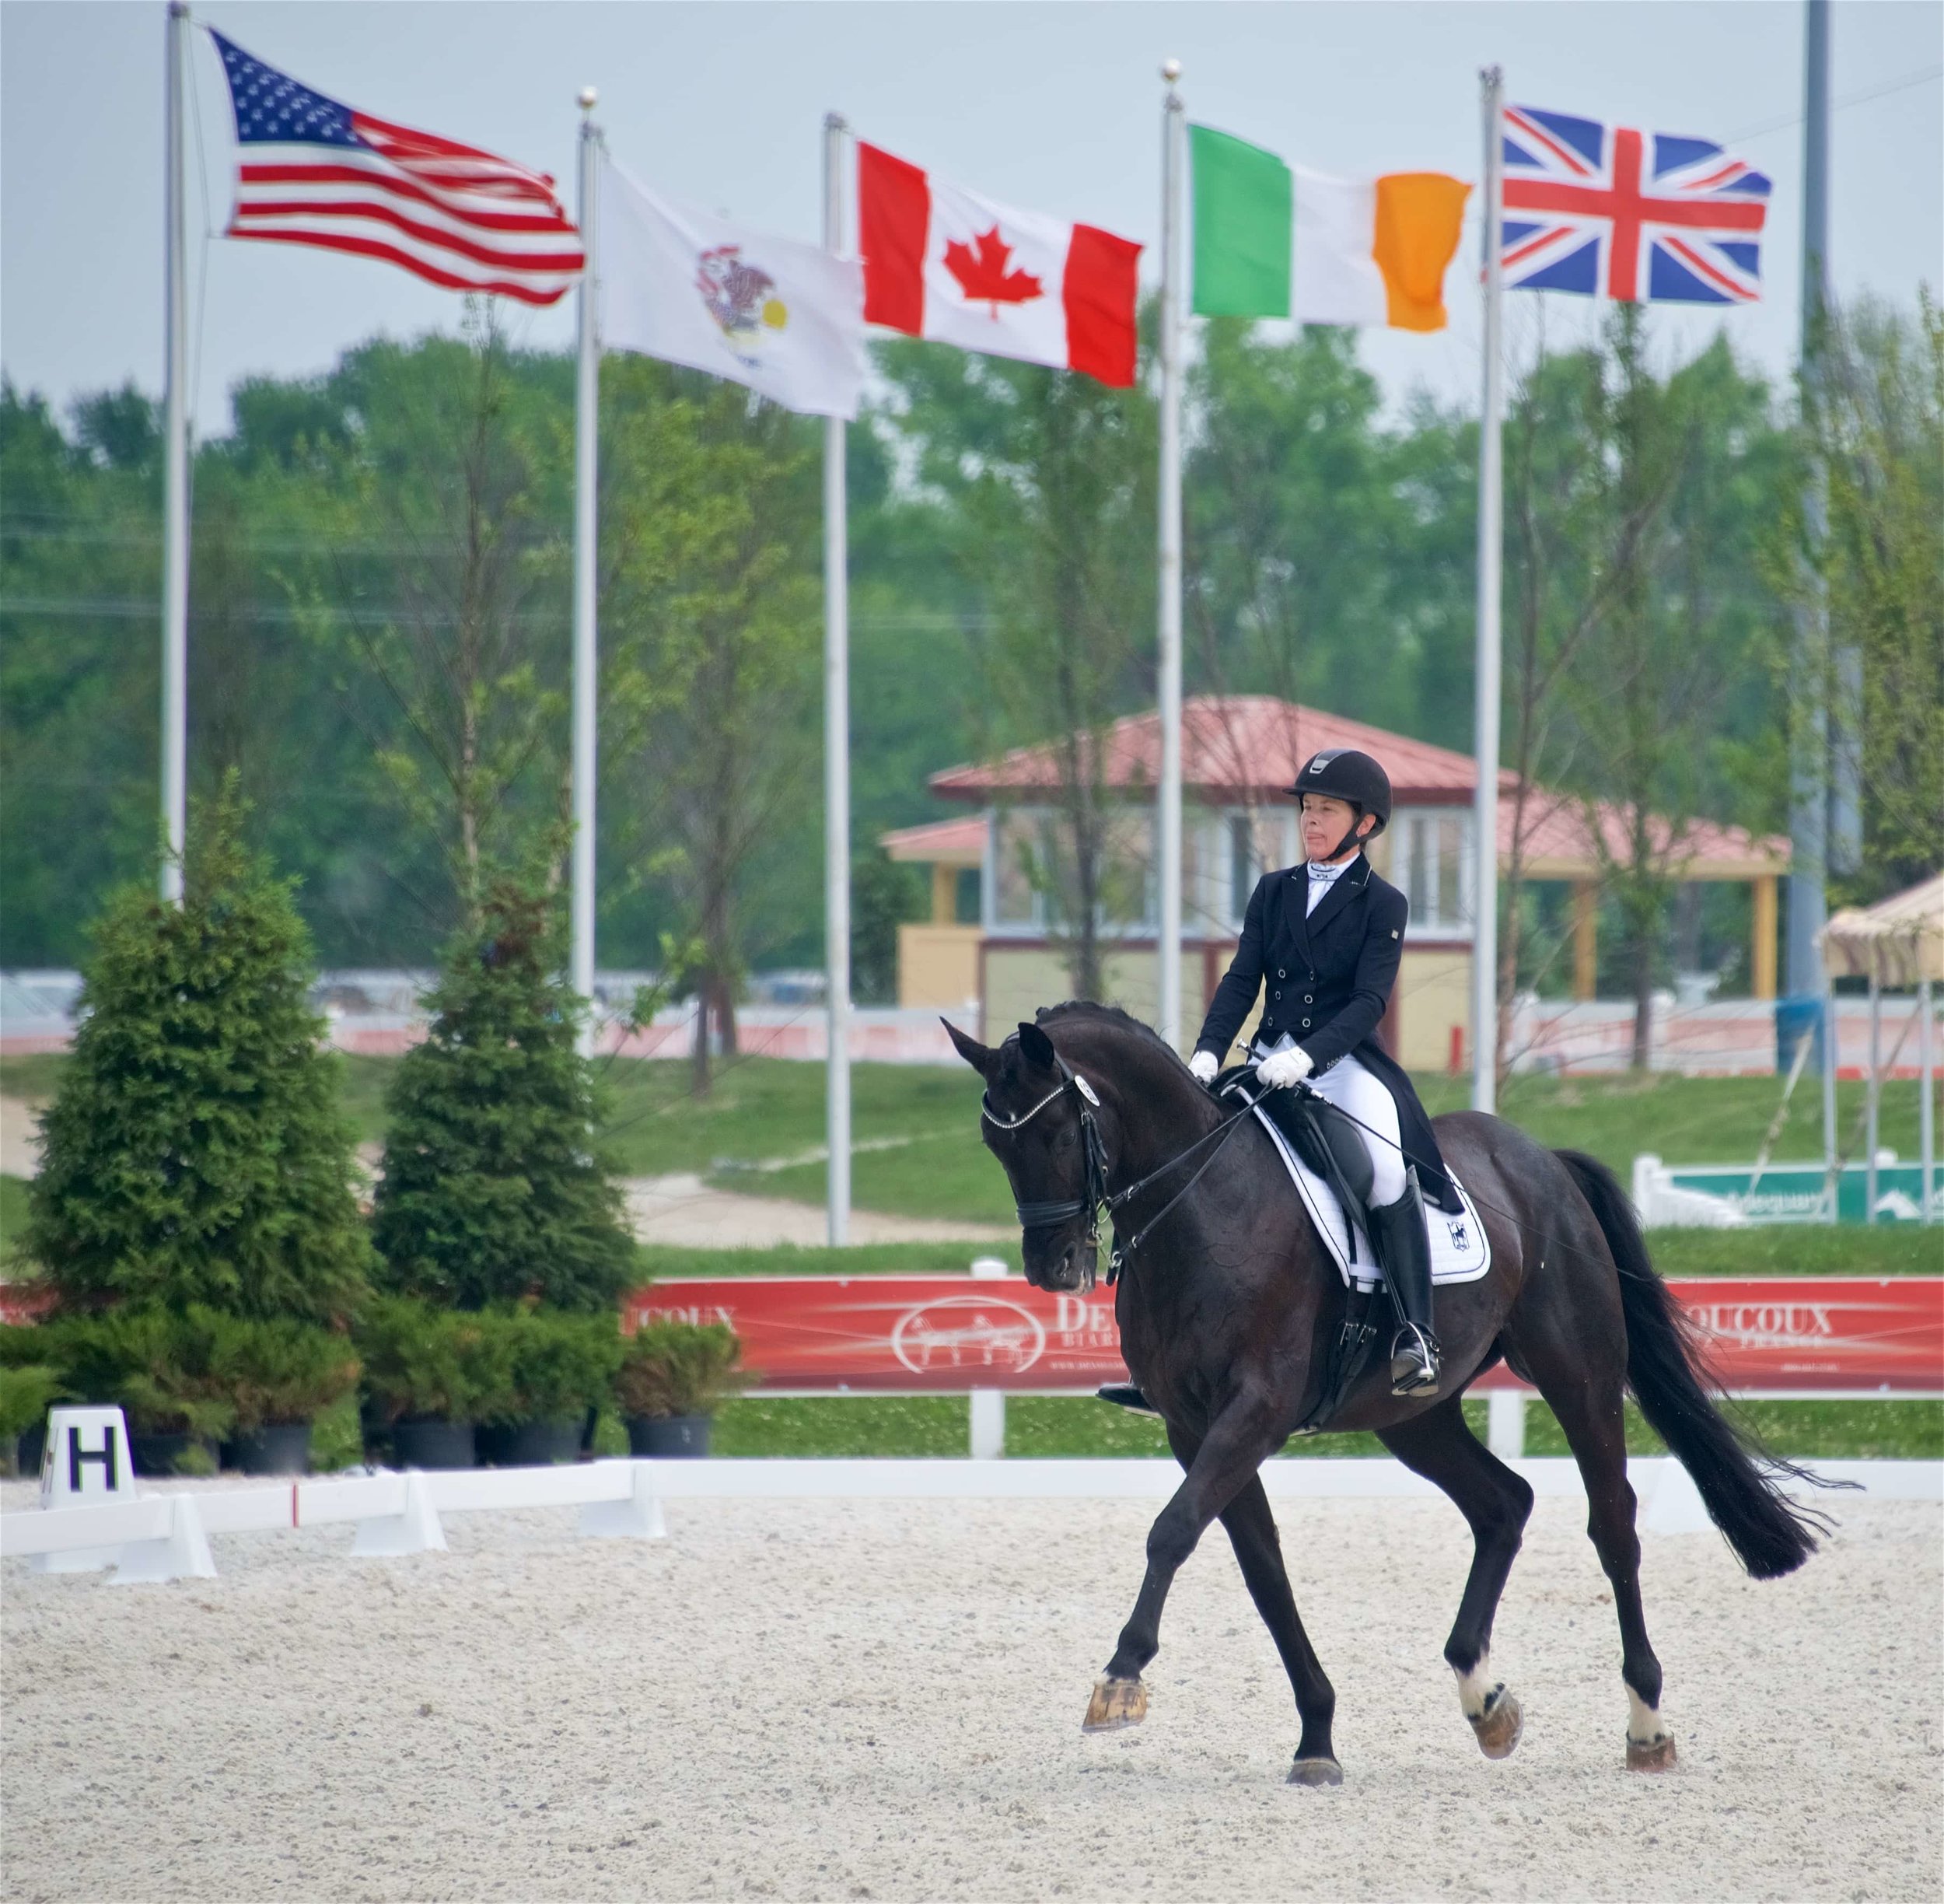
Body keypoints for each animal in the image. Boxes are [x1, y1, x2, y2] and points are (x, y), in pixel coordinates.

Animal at [945, 1011, 1820, 1789]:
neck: (1205, 1205)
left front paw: (1121, 1679)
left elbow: (1173, 1529)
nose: (1054, 1269)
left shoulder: (1255, 1410)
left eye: (1059, 1136)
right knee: (1503, 1503)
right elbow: (1262, 1572)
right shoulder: (1195, 1430)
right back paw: (1484, 1697)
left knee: (1612, 1527)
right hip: (1415, 1417)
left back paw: (1646, 1727)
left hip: (1581, 1377)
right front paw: (1317, 1739)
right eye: (994, 1144)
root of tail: (1540, 1159)